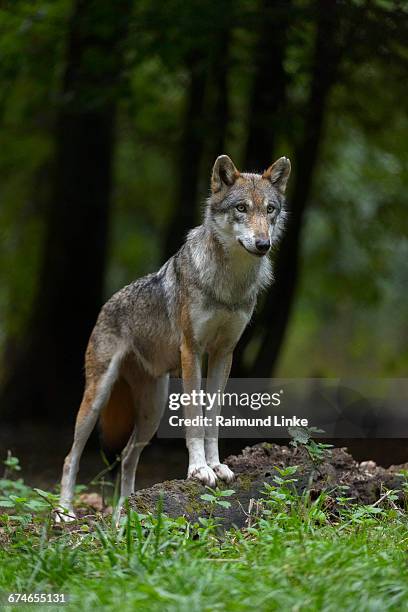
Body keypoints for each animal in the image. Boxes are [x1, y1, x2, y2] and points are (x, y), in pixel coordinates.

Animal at [57, 154, 290, 520]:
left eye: (269, 210)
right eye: (241, 208)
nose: (263, 244)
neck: (228, 284)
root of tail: (107, 304)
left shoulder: (224, 354)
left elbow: (213, 416)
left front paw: (216, 466)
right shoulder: (191, 351)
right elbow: (195, 417)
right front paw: (199, 470)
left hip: (152, 412)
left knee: (127, 457)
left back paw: (125, 508)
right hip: (97, 399)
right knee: (72, 457)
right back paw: (64, 512)